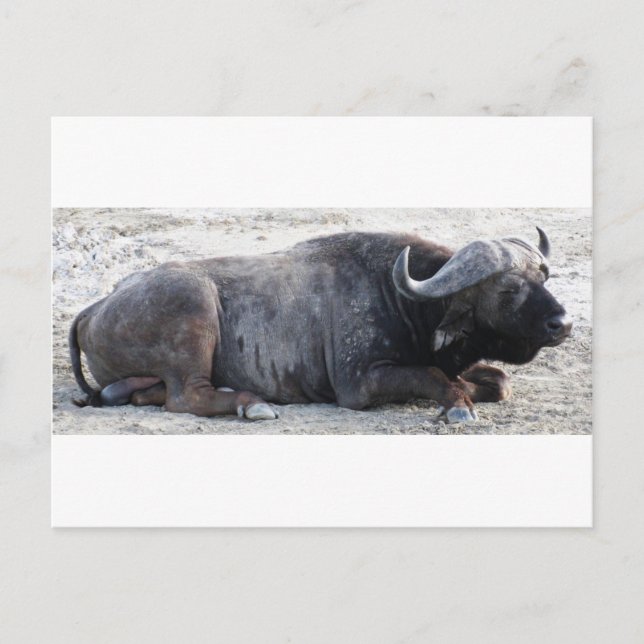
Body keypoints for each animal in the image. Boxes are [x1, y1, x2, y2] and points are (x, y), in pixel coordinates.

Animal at [69, 228, 571, 423]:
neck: (404, 299)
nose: (562, 323)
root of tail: (96, 306)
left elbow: (498, 380)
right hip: (195, 311)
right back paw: (252, 403)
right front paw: (459, 403)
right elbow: (432, 376)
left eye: (542, 277)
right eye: (508, 289)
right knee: (185, 397)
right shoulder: (358, 383)